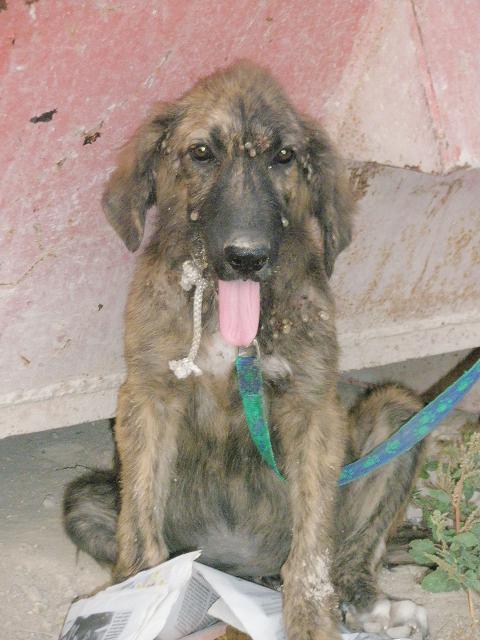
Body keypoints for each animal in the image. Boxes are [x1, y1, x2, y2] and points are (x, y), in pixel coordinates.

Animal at [64, 61, 428, 640]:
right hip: (90, 503)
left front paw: (311, 620)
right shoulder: (149, 395)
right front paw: (140, 596)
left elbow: (313, 548)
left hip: (400, 414)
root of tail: (245, 568)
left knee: (349, 551)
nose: (247, 257)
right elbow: (140, 525)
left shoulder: (313, 407)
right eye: (201, 153)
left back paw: (369, 604)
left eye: (284, 157)